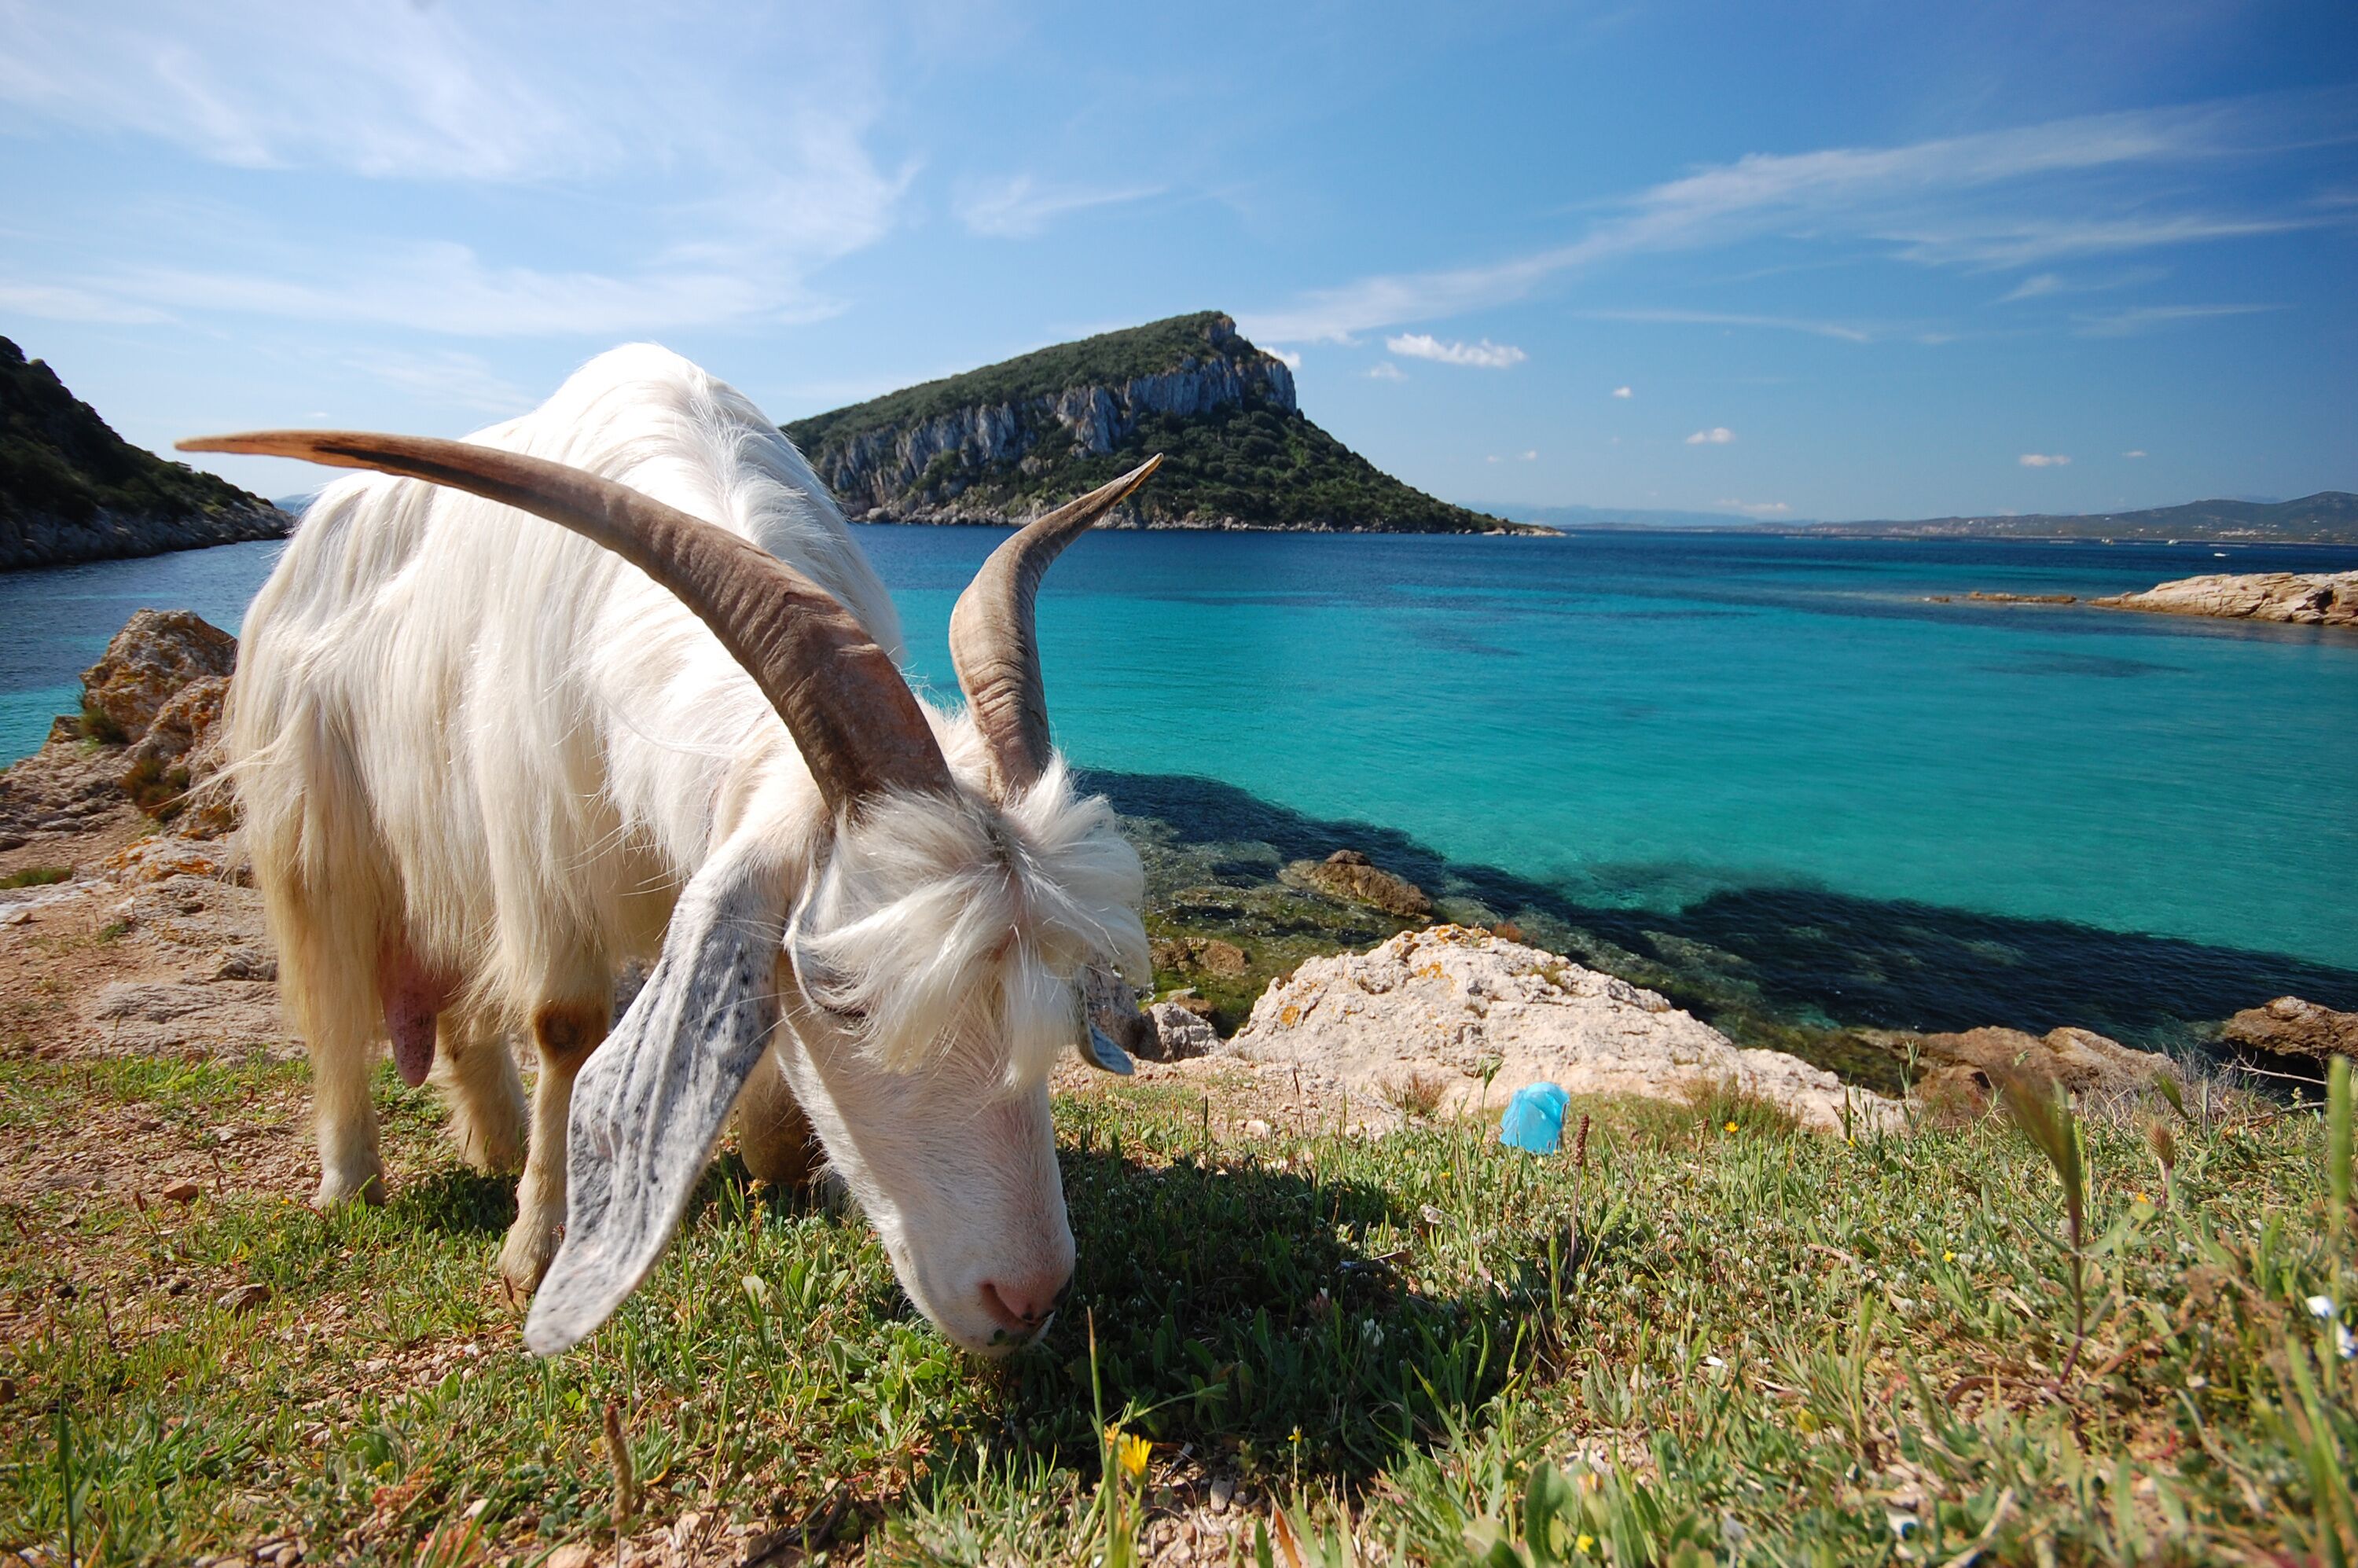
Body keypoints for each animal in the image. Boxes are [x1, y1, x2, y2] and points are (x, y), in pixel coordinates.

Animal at [181, 344, 1159, 1355]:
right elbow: (565, 1025)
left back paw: (494, 1139)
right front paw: (539, 1244)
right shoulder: (540, 854)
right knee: (335, 990)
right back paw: (353, 1182)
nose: (1026, 1299)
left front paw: (782, 1158)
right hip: (318, 824)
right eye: (841, 999)